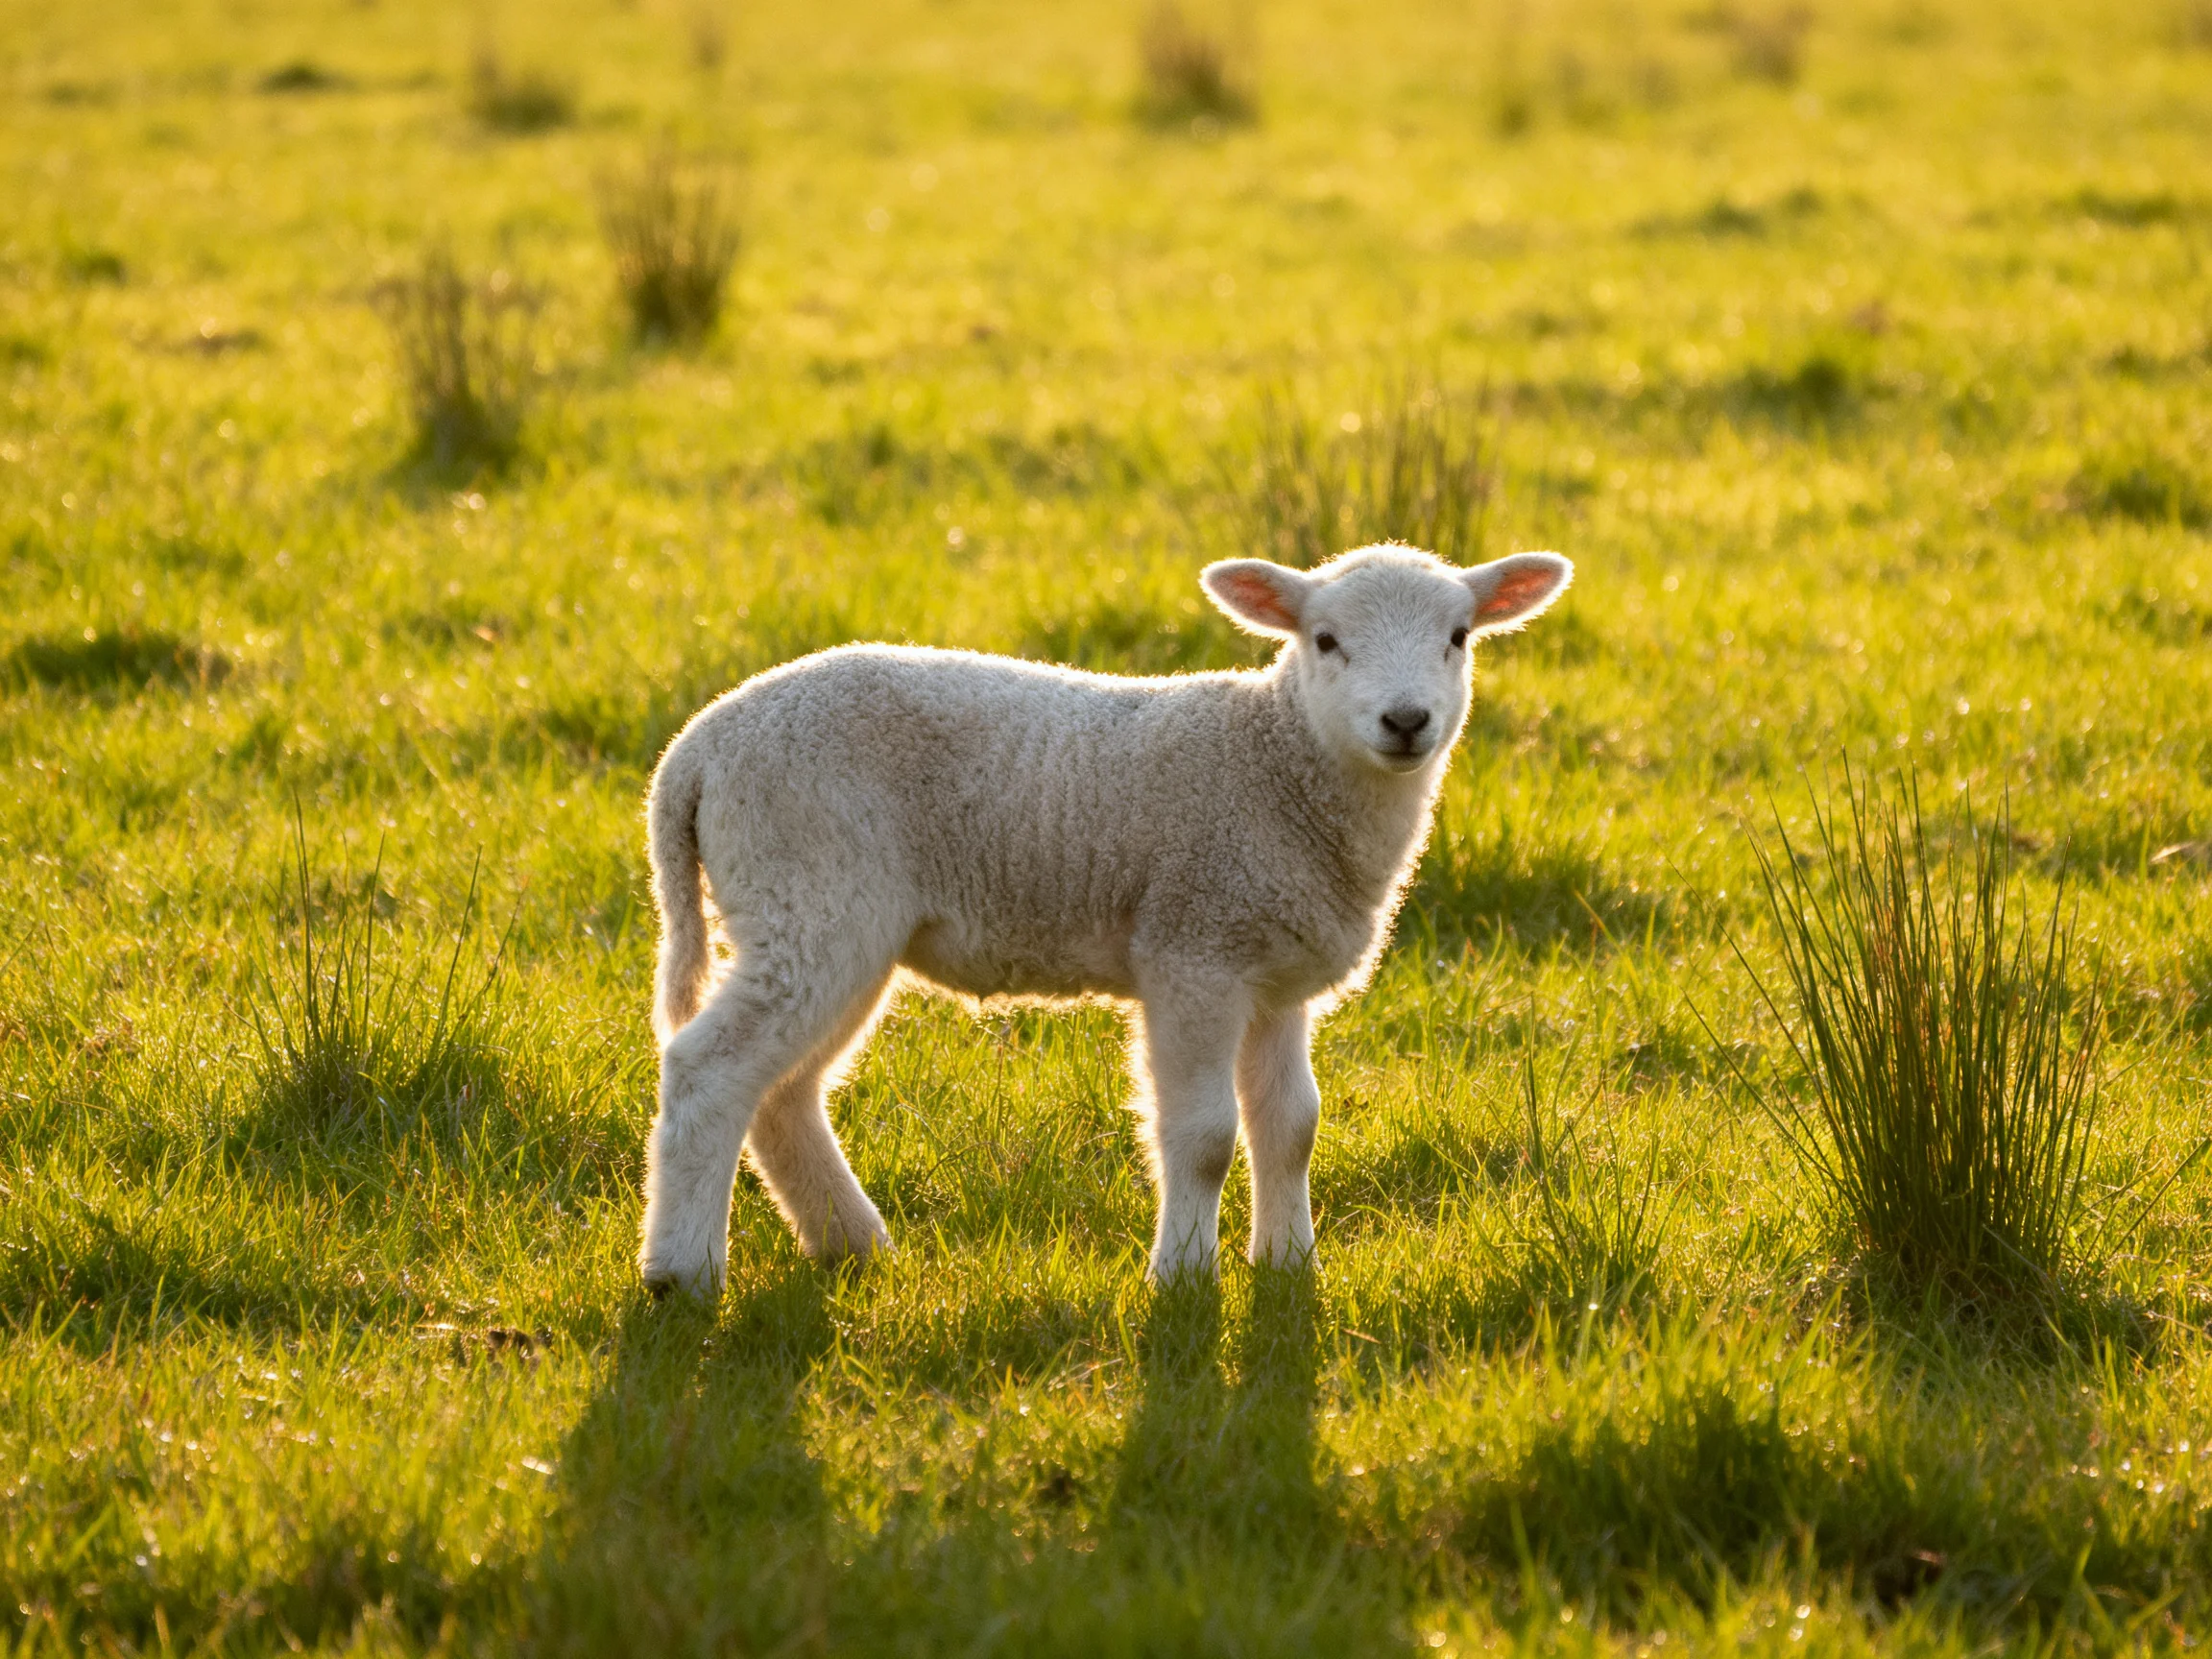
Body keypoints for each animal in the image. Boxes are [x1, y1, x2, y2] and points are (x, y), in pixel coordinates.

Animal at [639, 543, 1574, 1296]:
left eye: (1459, 637)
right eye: (1325, 640)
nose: (1406, 721)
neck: (1278, 762)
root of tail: (695, 751)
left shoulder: (1275, 973)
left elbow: (1292, 1126)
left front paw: (1288, 1266)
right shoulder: (1193, 949)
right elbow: (1203, 1135)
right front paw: (1184, 1277)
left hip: (825, 922)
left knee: (783, 1092)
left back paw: (852, 1244)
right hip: (810, 890)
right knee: (710, 1069)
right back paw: (683, 1274)